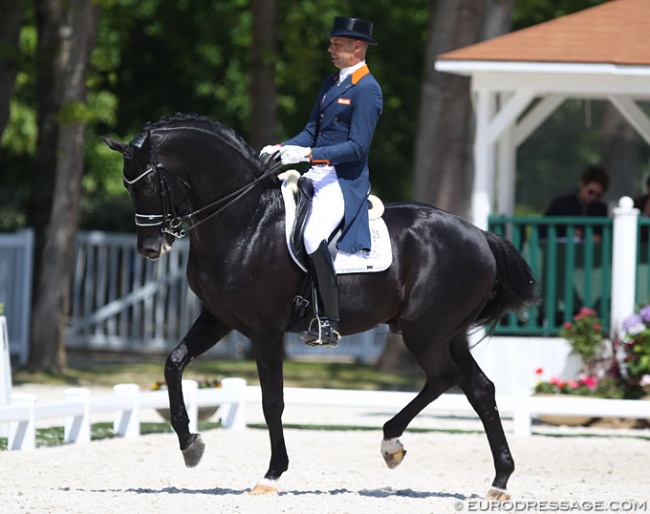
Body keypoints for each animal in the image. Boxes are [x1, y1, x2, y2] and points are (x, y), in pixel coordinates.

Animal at [104, 112, 536, 496]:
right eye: (128, 187)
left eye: (148, 186)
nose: (149, 249)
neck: (246, 220)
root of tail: (480, 235)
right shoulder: (217, 319)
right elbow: (174, 364)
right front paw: (189, 444)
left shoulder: (265, 330)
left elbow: (272, 400)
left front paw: (272, 475)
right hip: (449, 333)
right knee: (479, 389)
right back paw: (498, 480)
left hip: (424, 332)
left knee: (446, 378)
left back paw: (392, 443)